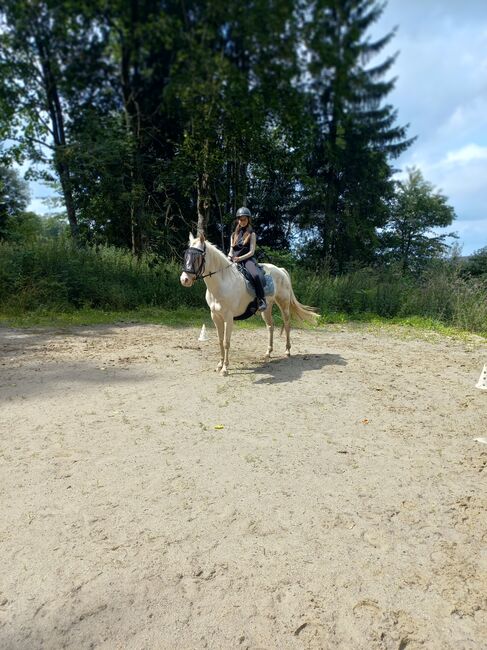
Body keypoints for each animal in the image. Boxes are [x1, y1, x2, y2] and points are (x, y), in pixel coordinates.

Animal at [180, 233, 319, 375]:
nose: (184, 280)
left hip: (283, 305)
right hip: (266, 309)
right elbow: (219, 341)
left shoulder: (228, 317)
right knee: (270, 326)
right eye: (186, 255)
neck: (222, 283)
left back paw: (287, 351)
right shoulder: (215, 316)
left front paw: (225, 368)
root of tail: (280, 270)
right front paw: (219, 365)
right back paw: (268, 352)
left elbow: (226, 342)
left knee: (287, 325)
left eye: (198, 256)